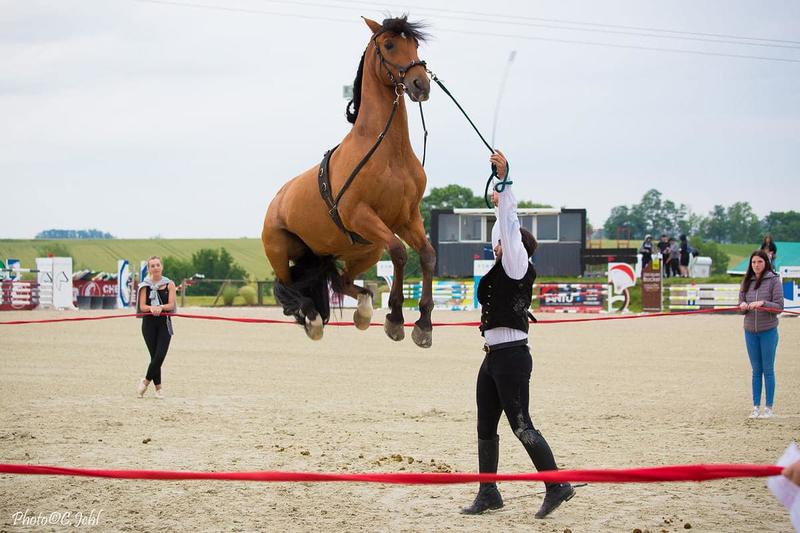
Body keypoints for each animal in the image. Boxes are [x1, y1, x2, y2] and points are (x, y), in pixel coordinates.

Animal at [261, 16, 436, 348]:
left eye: (416, 44)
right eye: (389, 44)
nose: (421, 84)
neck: (388, 152)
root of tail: (276, 200)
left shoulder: (407, 217)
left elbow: (426, 256)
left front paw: (423, 324)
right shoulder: (361, 215)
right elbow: (398, 253)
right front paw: (395, 318)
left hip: (365, 250)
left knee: (342, 281)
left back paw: (363, 312)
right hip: (279, 250)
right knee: (285, 287)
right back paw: (312, 319)